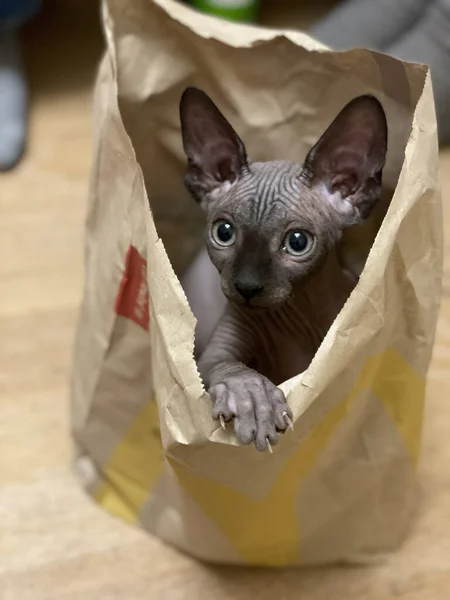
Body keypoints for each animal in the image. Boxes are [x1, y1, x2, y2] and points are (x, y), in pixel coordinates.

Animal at [179, 89, 386, 452]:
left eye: (298, 242)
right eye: (224, 233)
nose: (247, 287)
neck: (300, 315)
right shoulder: (215, 354)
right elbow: (230, 367)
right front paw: (252, 399)